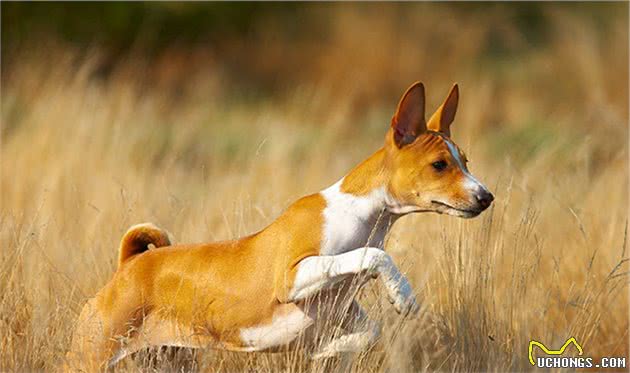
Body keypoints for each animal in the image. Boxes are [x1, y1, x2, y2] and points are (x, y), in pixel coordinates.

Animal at [65, 81, 498, 370]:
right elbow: (373, 254)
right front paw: (402, 293)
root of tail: (129, 265)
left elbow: (367, 333)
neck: (359, 215)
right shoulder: (292, 277)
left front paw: (327, 351)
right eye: (439, 165)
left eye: (466, 161)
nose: (486, 196)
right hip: (90, 356)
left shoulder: (342, 314)